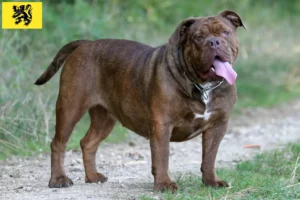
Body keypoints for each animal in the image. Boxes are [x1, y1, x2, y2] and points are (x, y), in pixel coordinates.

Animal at [35, 10, 246, 191]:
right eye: (198, 37)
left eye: (225, 32)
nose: (214, 42)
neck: (203, 86)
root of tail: (85, 44)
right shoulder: (162, 125)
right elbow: (162, 156)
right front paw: (164, 184)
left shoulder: (217, 125)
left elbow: (209, 157)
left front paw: (211, 182)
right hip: (70, 108)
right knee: (58, 144)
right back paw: (58, 179)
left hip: (105, 118)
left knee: (88, 143)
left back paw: (93, 176)